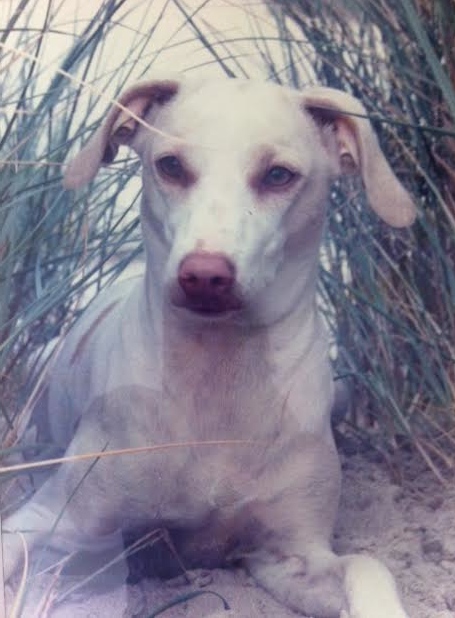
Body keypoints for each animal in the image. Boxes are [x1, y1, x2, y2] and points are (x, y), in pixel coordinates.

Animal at [2, 75, 415, 617]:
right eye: (171, 166)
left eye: (278, 175)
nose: (203, 275)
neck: (220, 378)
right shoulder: (54, 515)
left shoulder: (290, 552)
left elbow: (368, 566)